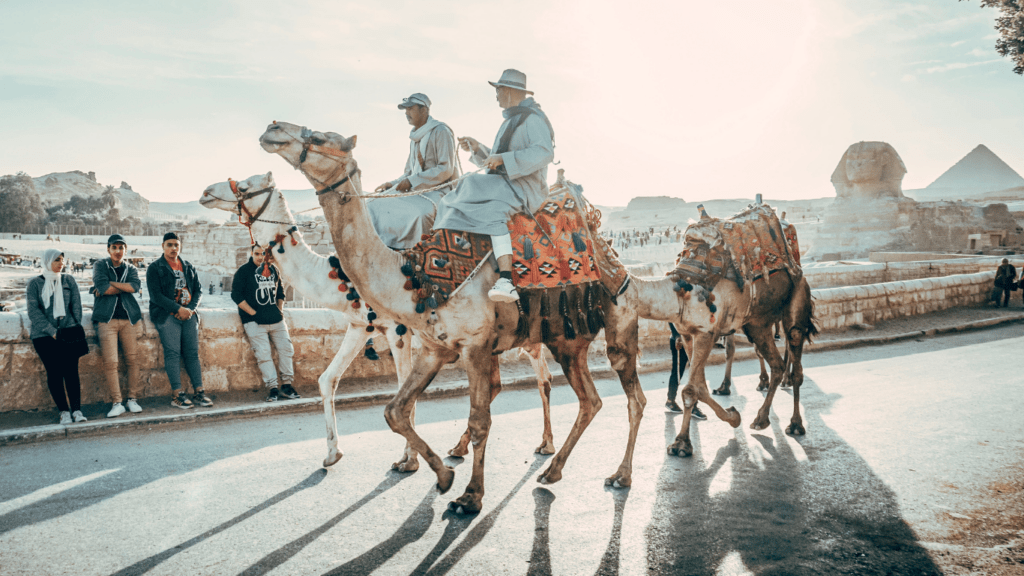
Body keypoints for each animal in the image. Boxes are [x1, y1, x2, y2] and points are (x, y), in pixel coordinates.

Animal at [195, 171, 557, 471]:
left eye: (245, 185)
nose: (205, 191)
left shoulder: (398, 329)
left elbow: (402, 387)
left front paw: (408, 460)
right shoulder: (360, 325)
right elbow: (327, 379)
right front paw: (332, 454)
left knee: (543, 377)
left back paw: (546, 445)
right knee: (496, 383)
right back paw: (460, 448)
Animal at [256, 121, 720, 510]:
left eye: (321, 137)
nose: (272, 129)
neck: (415, 278)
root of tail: (617, 264)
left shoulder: (476, 345)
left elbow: (480, 421)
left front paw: (470, 496)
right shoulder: (435, 347)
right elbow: (394, 411)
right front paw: (443, 477)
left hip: (618, 323)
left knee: (634, 398)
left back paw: (621, 475)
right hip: (566, 340)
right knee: (591, 400)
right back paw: (552, 470)